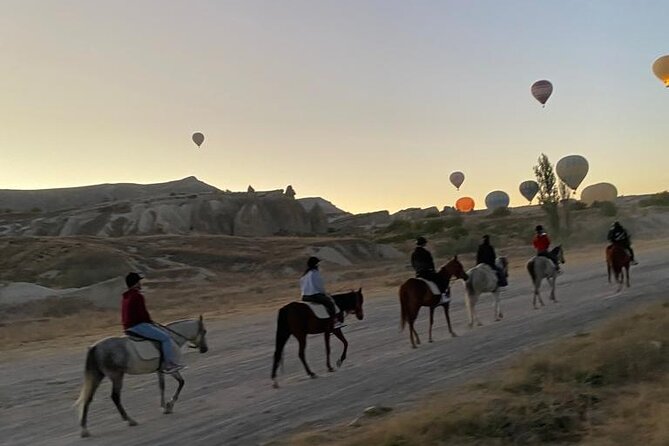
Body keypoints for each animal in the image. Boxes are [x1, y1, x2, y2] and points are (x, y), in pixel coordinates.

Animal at [74, 316, 207, 438]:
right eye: (204, 331)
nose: (205, 349)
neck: (171, 337)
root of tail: (95, 347)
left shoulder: (160, 370)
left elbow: (162, 386)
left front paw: (164, 406)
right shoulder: (171, 369)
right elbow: (181, 382)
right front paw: (169, 405)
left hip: (97, 376)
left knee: (88, 398)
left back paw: (84, 430)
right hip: (116, 375)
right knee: (115, 397)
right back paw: (130, 420)